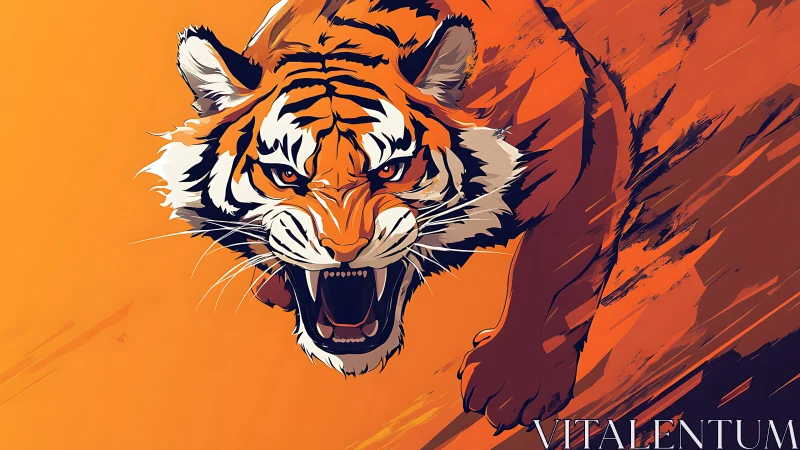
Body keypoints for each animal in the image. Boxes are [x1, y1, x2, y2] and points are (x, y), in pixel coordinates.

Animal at [142, 0, 632, 432]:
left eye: (390, 169)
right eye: (286, 174)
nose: (344, 251)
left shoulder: (592, 123)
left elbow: (552, 264)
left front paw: (514, 379)